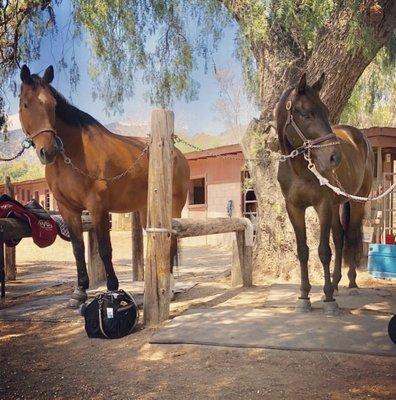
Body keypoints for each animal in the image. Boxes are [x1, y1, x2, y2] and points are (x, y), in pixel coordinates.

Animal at [18, 65, 190, 308]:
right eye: (26, 104)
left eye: (52, 105)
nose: (48, 151)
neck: (73, 154)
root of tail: (178, 155)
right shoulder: (67, 209)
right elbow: (78, 249)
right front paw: (79, 292)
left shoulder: (97, 207)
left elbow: (104, 249)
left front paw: (112, 289)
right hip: (146, 209)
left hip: (173, 208)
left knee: (172, 241)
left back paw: (171, 289)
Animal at [276, 73, 374, 314]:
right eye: (305, 113)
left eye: (326, 112)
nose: (334, 157)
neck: (300, 169)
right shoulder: (294, 208)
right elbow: (303, 250)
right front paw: (304, 296)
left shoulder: (323, 205)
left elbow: (323, 251)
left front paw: (328, 298)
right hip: (338, 203)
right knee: (339, 238)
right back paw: (337, 283)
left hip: (356, 202)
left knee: (350, 237)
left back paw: (351, 284)